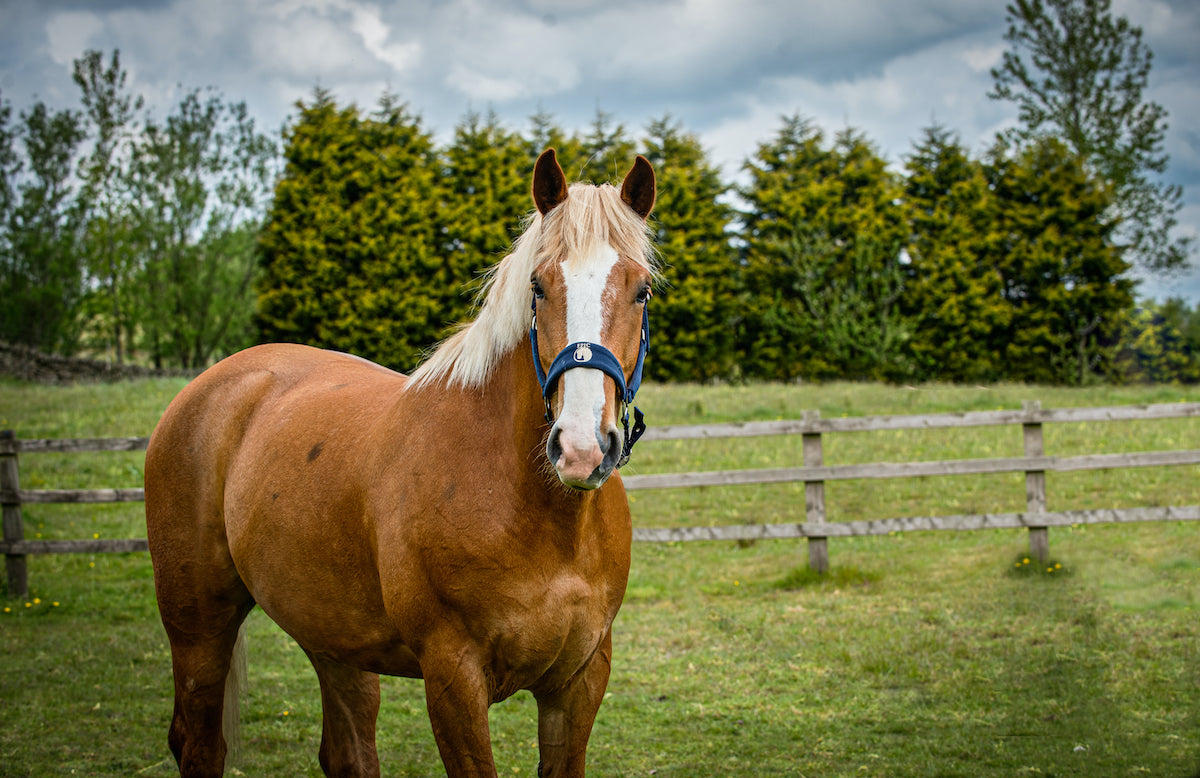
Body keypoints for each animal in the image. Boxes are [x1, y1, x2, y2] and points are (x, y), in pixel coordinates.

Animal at [145, 147, 662, 778]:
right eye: (539, 287)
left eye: (641, 291)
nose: (582, 448)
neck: (537, 515)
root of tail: (209, 386)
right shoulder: (453, 678)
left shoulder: (580, 681)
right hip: (198, 627)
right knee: (200, 743)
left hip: (332, 637)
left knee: (346, 751)